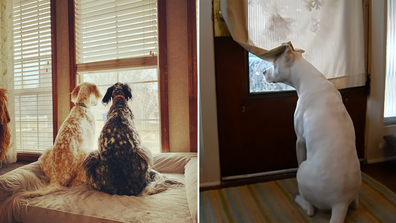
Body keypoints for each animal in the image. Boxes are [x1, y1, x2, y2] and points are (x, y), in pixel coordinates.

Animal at [262, 42, 362, 223]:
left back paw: (300, 199)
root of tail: (340, 203)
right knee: (356, 203)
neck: (307, 78)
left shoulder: (300, 141)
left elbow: (299, 155)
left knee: (310, 209)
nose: (264, 72)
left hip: (302, 171)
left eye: (274, 64)